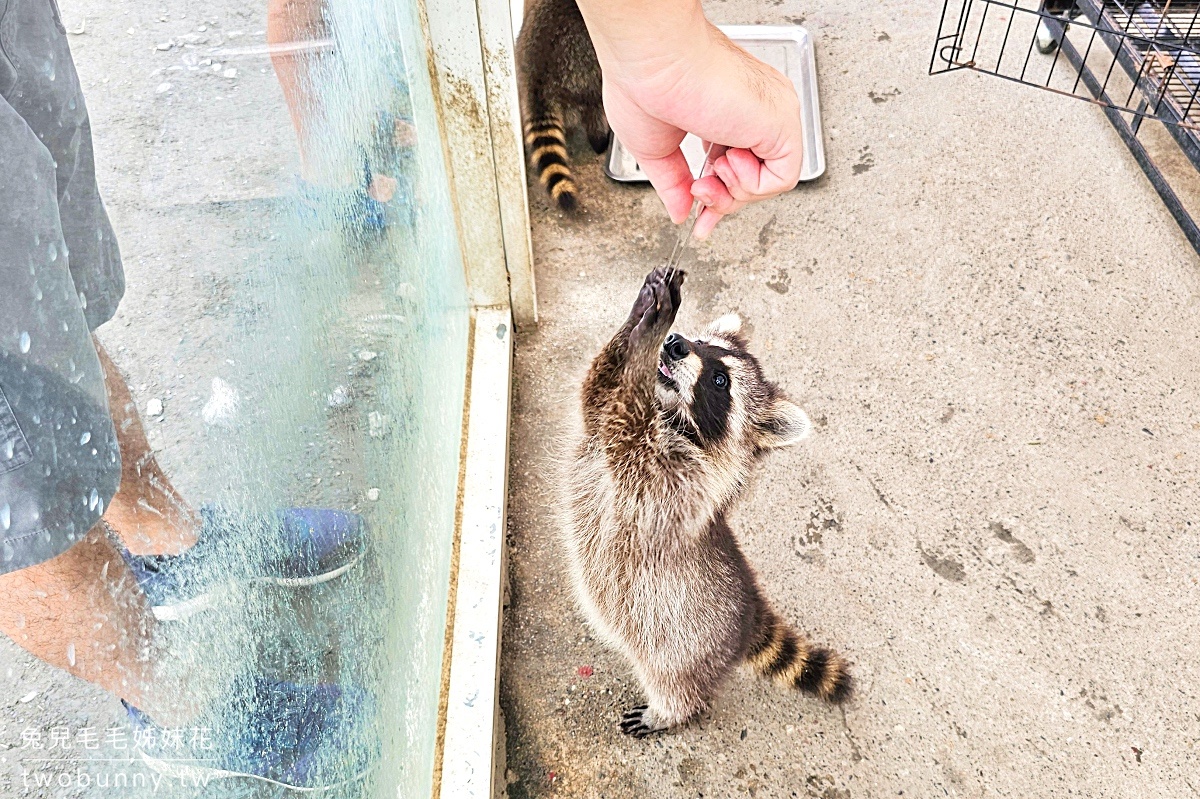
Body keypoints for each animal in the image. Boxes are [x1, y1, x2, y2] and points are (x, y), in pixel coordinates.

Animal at [564, 266, 854, 734]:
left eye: (720, 380)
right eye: (702, 342)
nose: (675, 342)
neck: (670, 416)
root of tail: (748, 616)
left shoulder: (675, 486)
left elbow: (625, 423)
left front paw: (646, 336)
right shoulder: (608, 437)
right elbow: (597, 393)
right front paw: (640, 316)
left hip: (684, 649)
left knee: (677, 685)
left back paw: (669, 712)